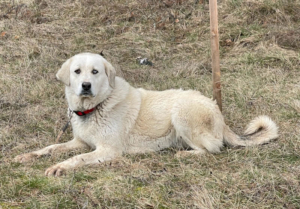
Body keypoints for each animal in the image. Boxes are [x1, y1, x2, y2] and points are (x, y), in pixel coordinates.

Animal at [14, 53, 278, 176]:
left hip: (181, 112)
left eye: (95, 71)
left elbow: (76, 159)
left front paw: (60, 167)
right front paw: (29, 155)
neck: (95, 106)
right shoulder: (81, 142)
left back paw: (184, 155)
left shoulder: (107, 150)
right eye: (77, 71)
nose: (86, 86)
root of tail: (218, 112)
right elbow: (51, 148)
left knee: (213, 148)